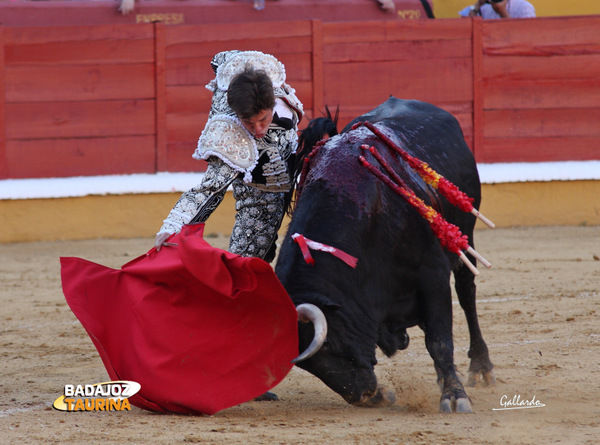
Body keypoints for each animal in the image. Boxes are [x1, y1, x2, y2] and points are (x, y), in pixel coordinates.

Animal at [274, 97, 494, 412]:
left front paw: (455, 395)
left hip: (465, 234)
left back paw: (480, 367)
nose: (364, 395)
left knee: (466, 294)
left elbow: (439, 341)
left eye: (329, 344)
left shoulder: (433, 276)